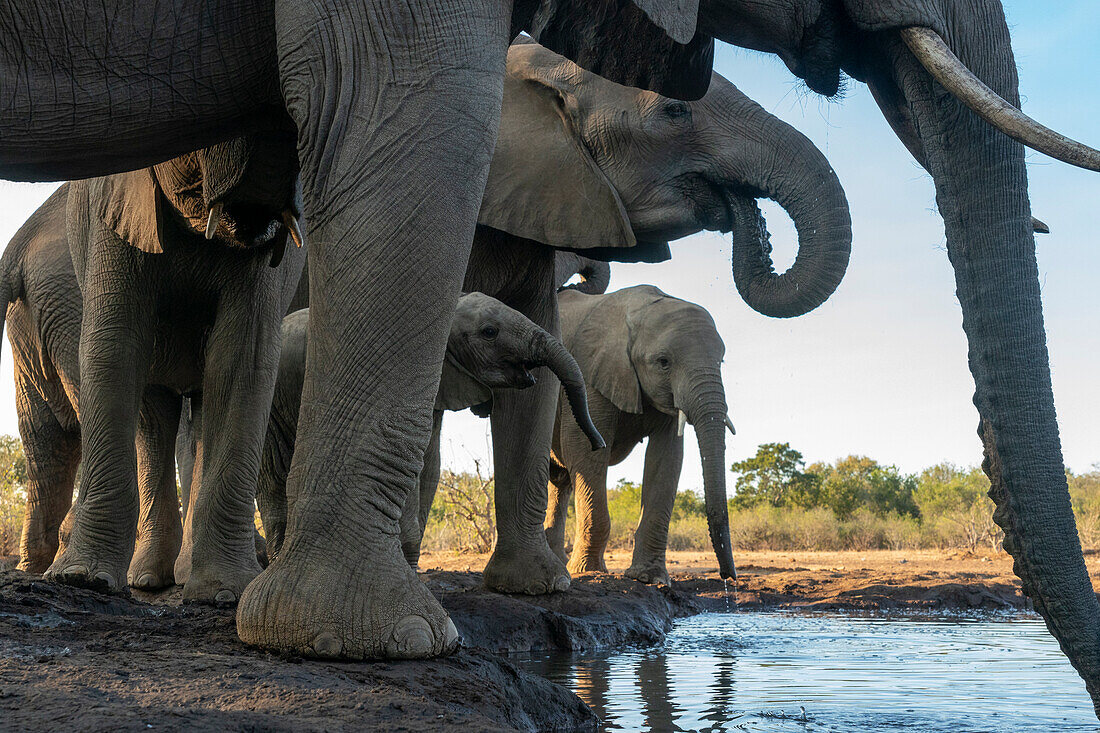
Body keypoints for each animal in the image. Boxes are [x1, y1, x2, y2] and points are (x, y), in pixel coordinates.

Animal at [0, 132, 305, 598]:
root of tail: (20, 240)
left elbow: (242, 356)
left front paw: (223, 592)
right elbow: (118, 341)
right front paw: (85, 578)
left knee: (48, 439)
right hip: (64, 296)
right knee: (134, 410)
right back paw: (115, 575)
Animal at [545, 283, 734, 581]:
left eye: (722, 362)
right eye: (664, 362)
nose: (728, 577)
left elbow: (666, 458)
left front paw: (648, 577)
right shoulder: (589, 373)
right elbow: (586, 453)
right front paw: (587, 571)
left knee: (558, 480)